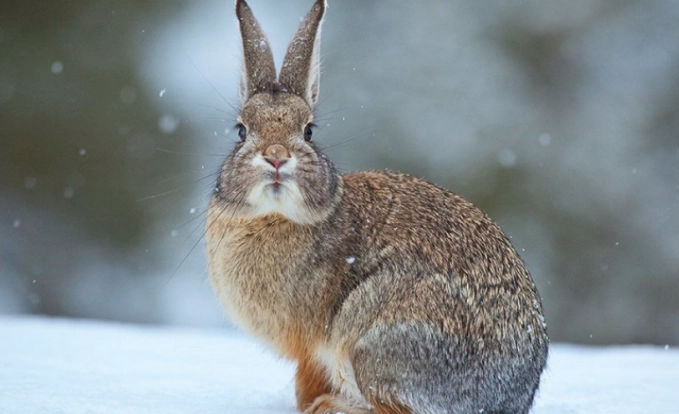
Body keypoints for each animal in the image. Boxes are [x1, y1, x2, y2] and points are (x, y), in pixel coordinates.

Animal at [206, 1, 549, 413]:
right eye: (241, 131)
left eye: (309, 131)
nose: (276, 157)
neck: (276, 216)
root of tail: (503, 399)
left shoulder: (312, 350)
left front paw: (310, 405)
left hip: (376, 340)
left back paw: (331, 406)